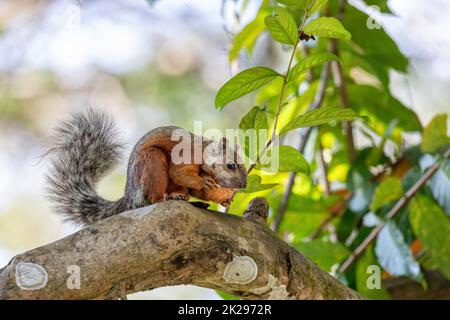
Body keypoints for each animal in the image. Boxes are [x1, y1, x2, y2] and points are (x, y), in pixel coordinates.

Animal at [46, 109, 246, 226]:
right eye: (230, 165)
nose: (243, 185)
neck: (204, 151)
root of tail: (130, 197)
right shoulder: (187, 154)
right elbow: (178, 173)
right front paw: (204, 182)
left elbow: (198, 190)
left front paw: (225, 199)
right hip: (151, 162)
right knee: (152, 198)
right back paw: (165, 198)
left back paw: (189, 201)